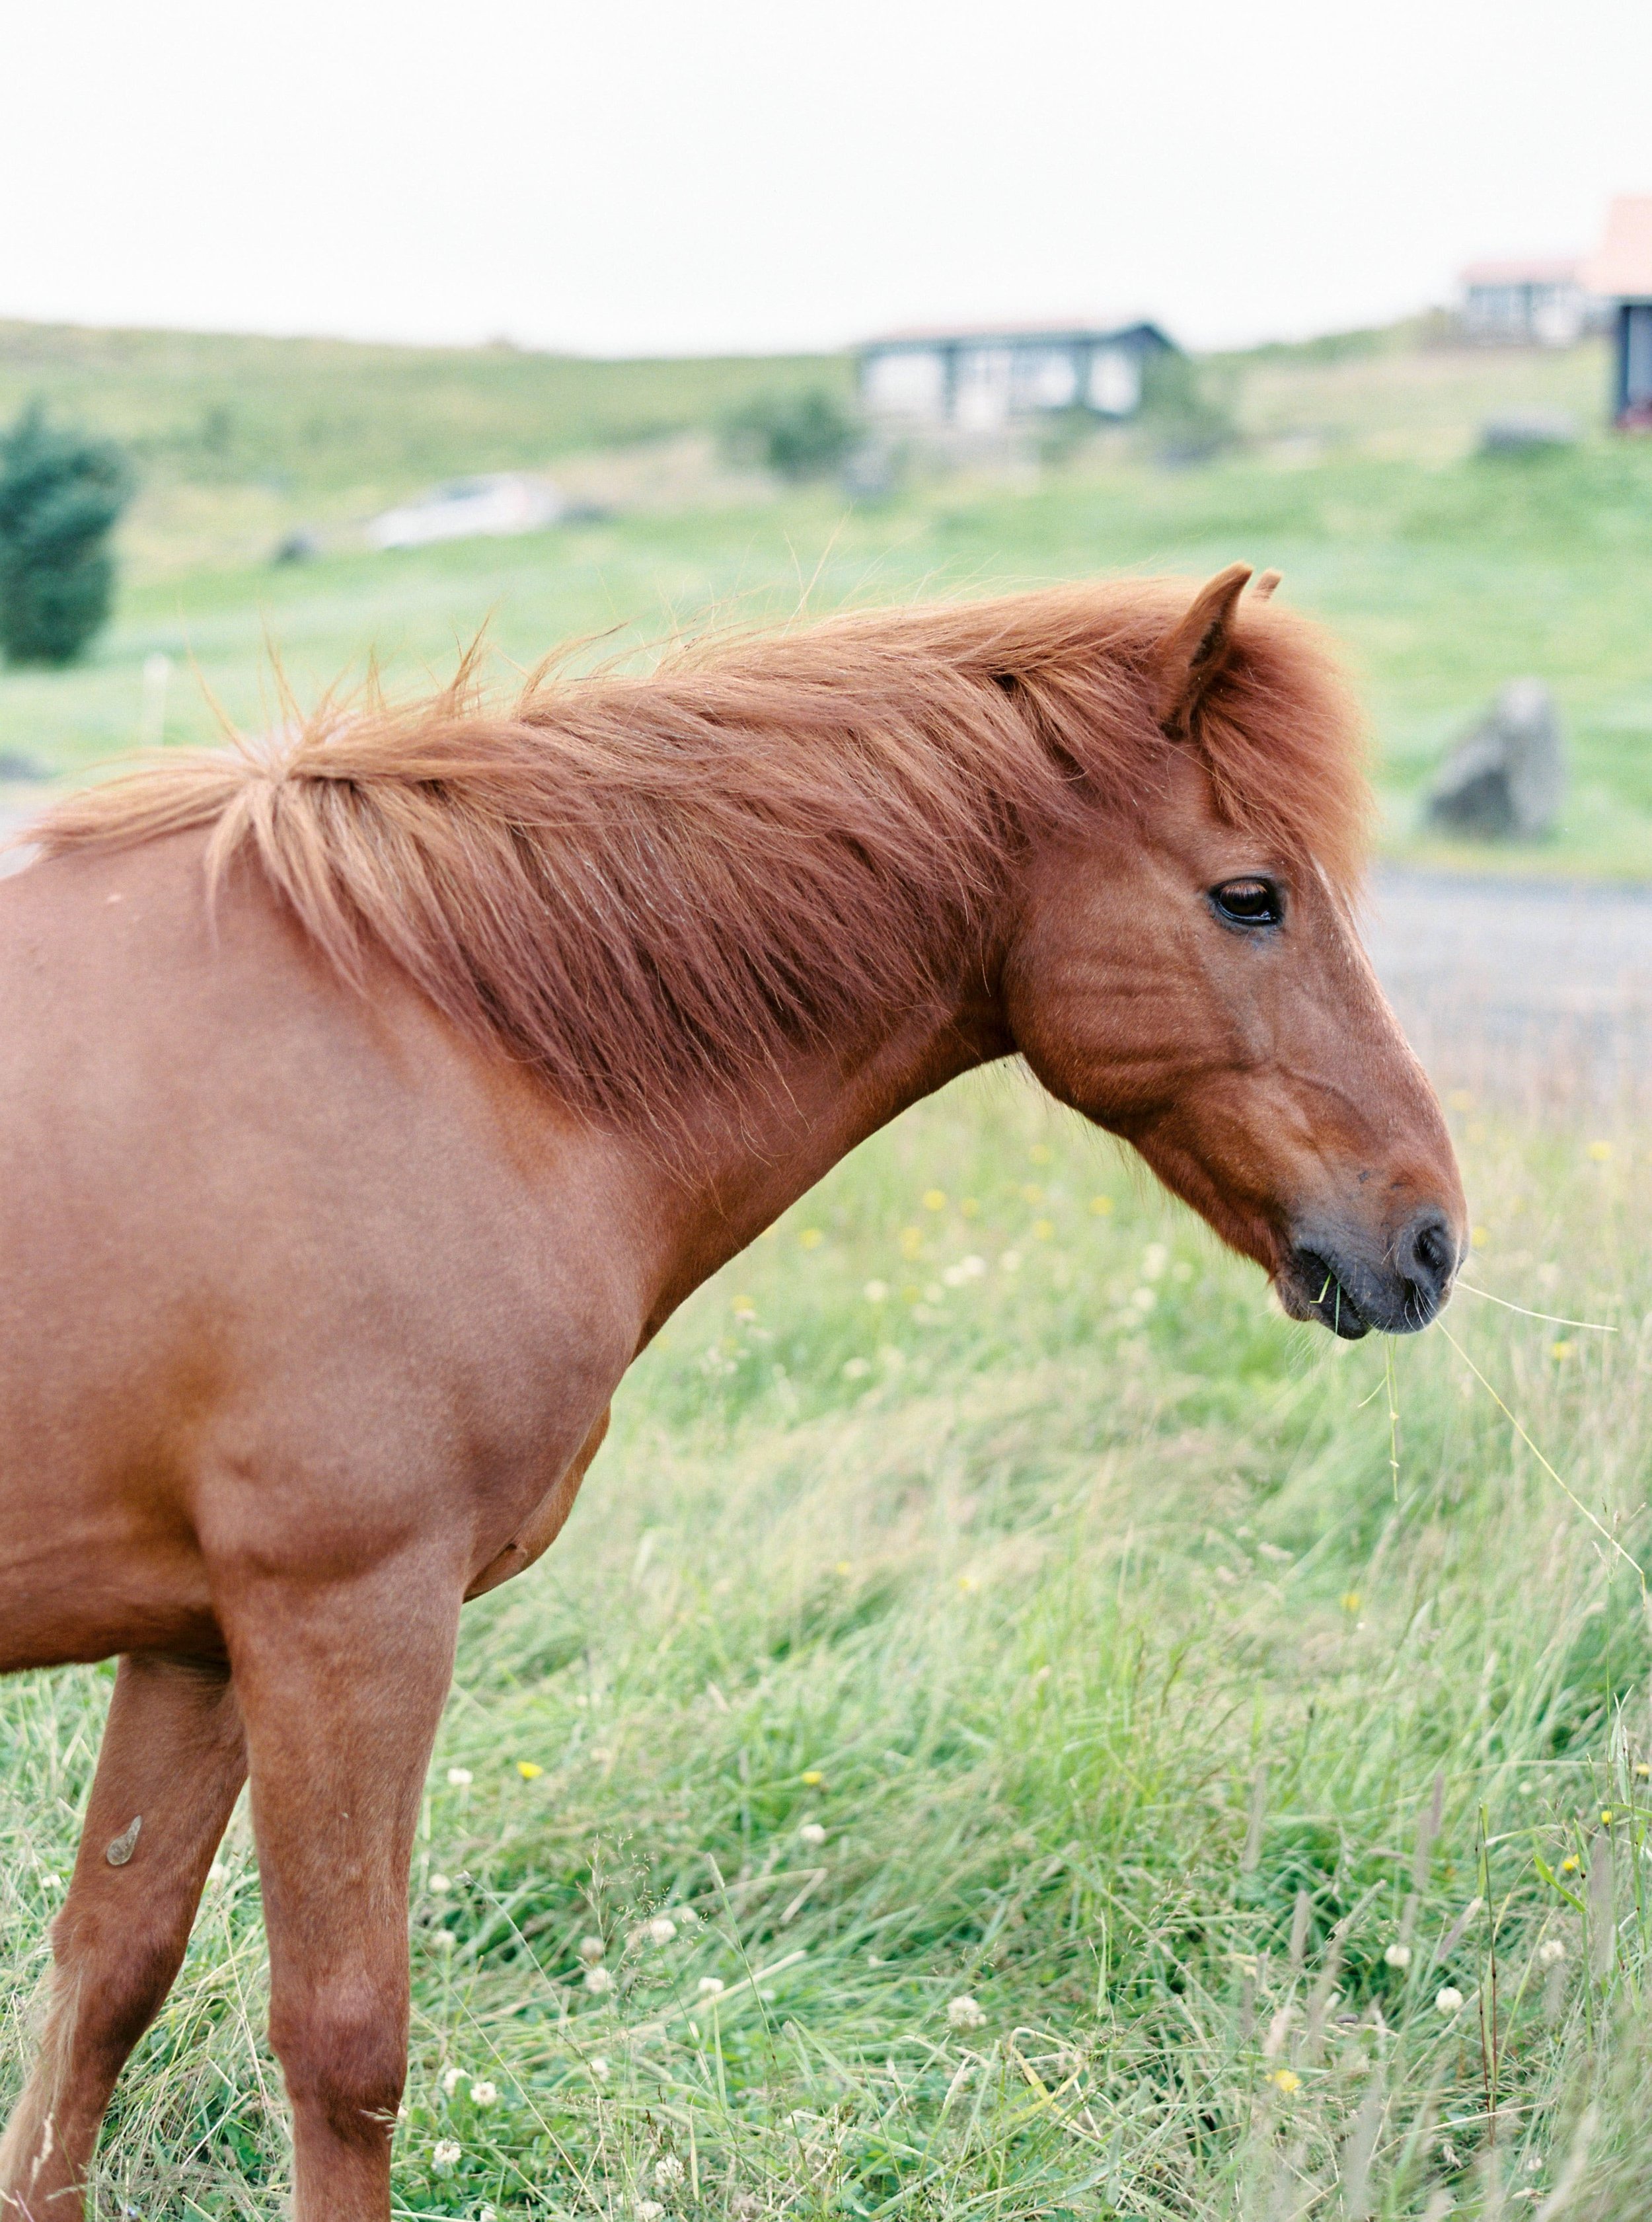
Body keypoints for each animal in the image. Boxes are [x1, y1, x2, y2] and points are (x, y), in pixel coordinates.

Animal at [0, 568, 1456, 2222]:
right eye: (1249, 896)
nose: (1424, 1234)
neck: (436, 1045)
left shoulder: (198, 1640)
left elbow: (105, 1978)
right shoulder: (346, 1618)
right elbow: (345, 2037)